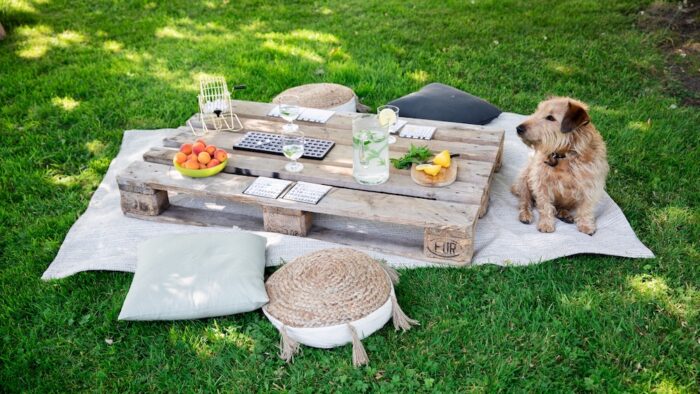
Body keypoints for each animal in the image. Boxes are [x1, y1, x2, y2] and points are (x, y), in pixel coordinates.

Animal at [512, 97, 608, 234]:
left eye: (550, 117)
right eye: (537, 111)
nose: (518, 128)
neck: (565, 156)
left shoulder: (591, 185)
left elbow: (586, 207)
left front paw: (586, 224)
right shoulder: (541, 181)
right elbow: (544, 204)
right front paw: (546, 223)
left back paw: (564, 213)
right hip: (524, 179)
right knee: (525, 200)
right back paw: (525, 214)